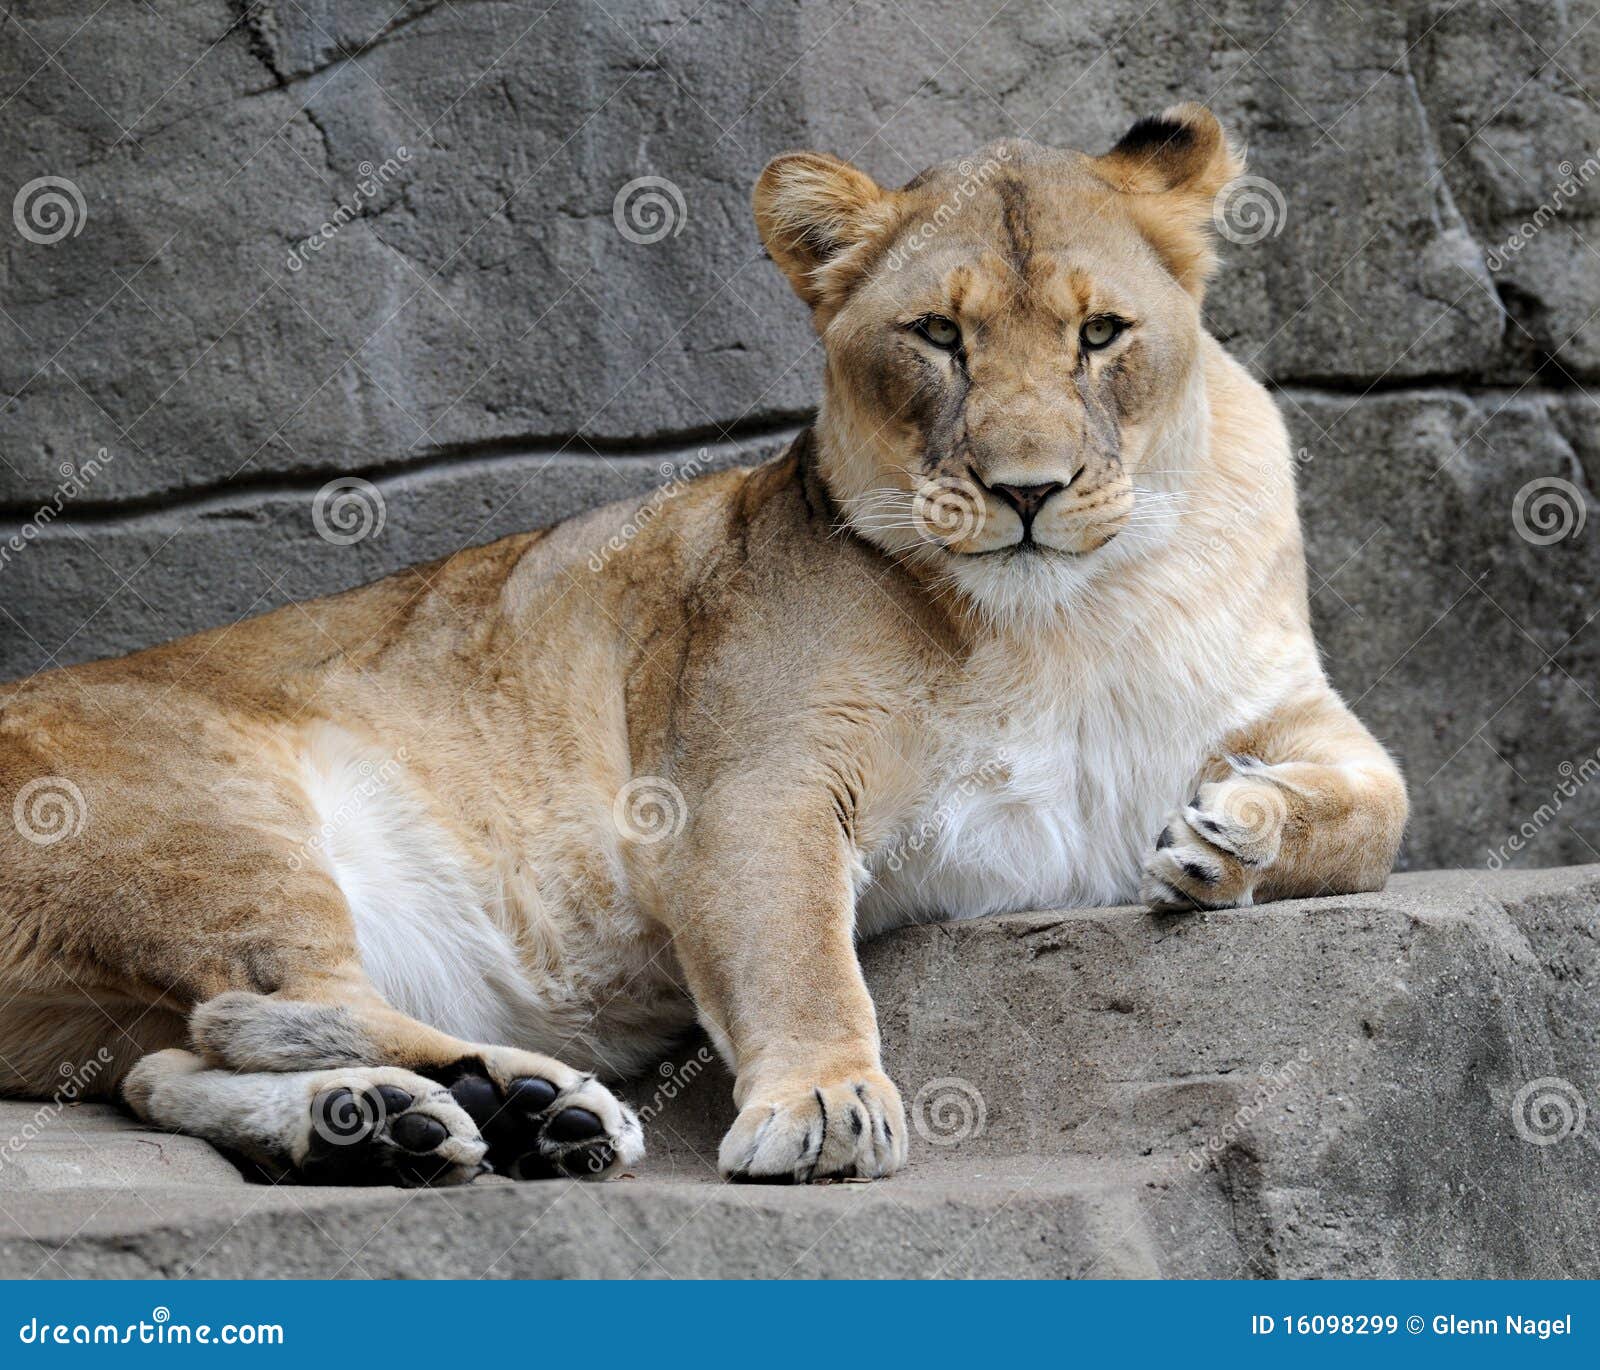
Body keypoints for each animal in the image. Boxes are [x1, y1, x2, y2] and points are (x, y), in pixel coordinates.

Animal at [0, 105, 1405, 1185]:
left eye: (1099, 333)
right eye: (937, 336)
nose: (1026, 491)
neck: (1076, 615)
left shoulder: (1294, 702)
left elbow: (1380, 808)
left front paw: (1229, 835)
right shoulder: (741, 788)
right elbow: (799, 960)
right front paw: (824, 1105)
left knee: (169, 1062)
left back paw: (402, 1125)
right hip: (207, 826)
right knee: (269, 1002)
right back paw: (531, 1099)